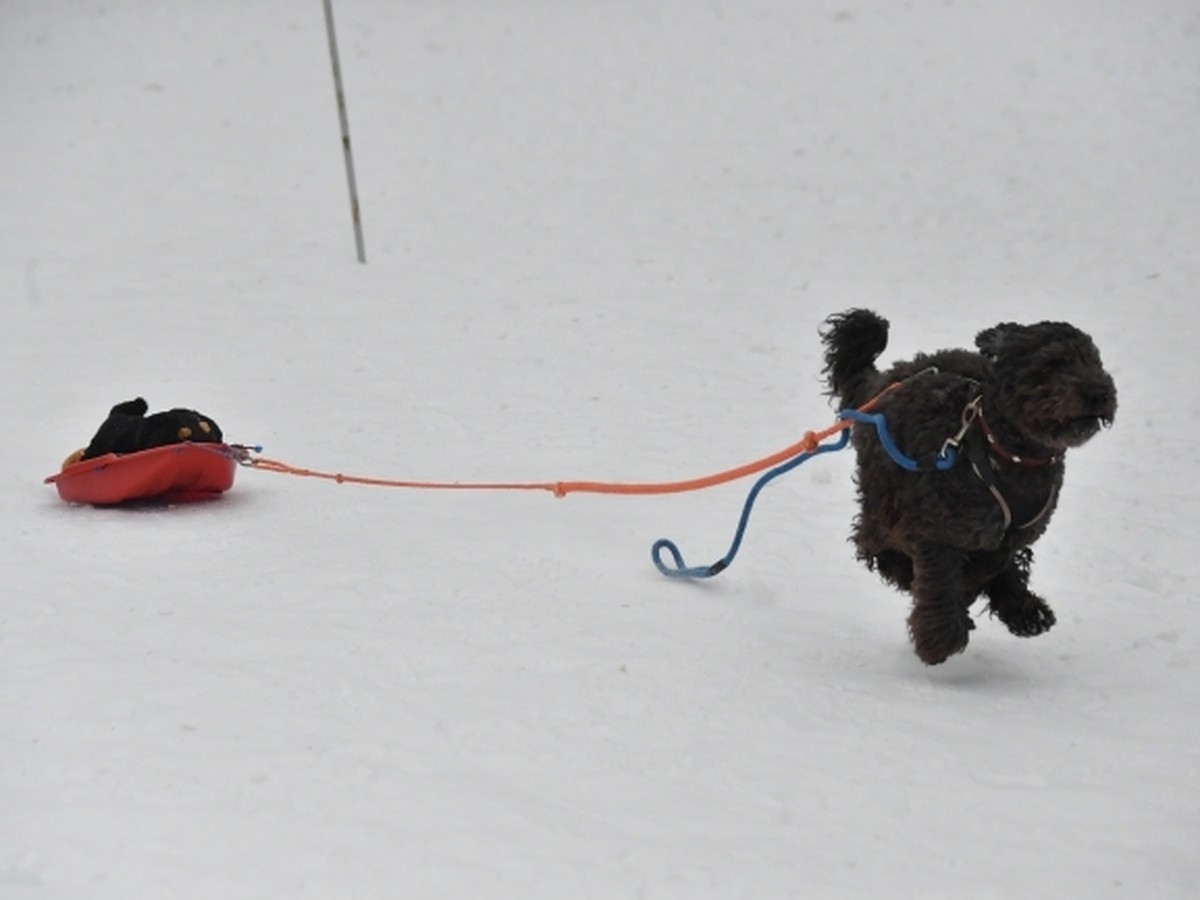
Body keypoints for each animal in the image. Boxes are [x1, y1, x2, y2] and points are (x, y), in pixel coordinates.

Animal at [820, 314, 1118, 667]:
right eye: (1053, 363)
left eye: (1095, 361)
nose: (1099, 392)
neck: (1007, 452)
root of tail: (887, 379)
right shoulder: (937, 528)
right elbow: (944, 579)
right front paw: (941, 638)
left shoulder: (1012, 533)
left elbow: (997, 564)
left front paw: (1020, 608)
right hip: (885, 495)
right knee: (872, 542)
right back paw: (903, 571)